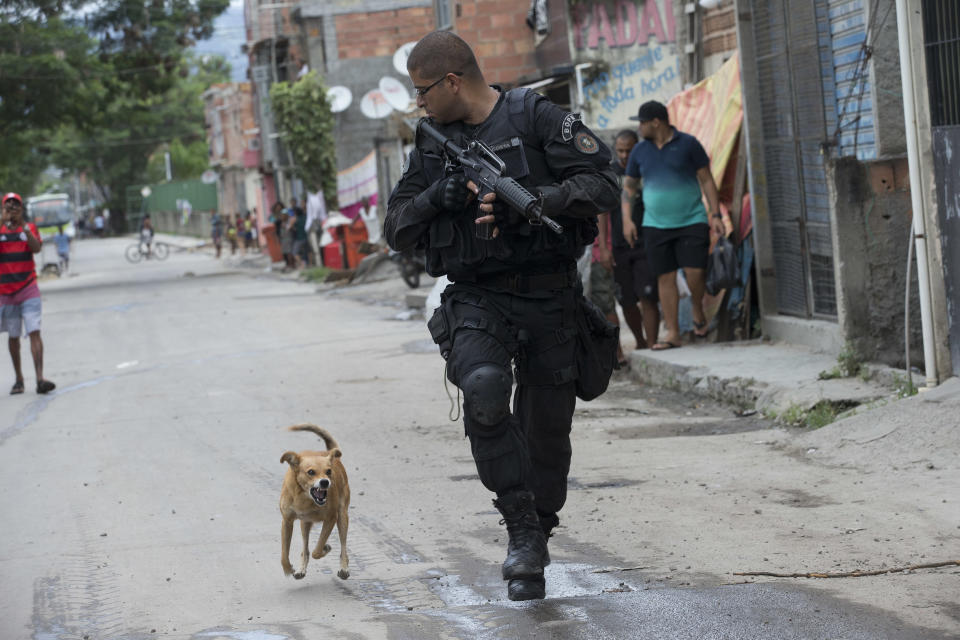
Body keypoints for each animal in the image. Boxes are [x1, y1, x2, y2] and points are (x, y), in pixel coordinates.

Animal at [280, 424, 350, 580]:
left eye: (329, 471)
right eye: (311, 472)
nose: (325, 482)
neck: (305, 497)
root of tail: (329, 453)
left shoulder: (331, 518)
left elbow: (317, 550)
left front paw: (324, 548)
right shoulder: (287, 521)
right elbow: (284, 553)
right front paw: (287, 568)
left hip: (342, 516)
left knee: (343, 545)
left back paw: (344, 567)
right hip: (304, 524)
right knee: (304, 548)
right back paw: (301, 569)